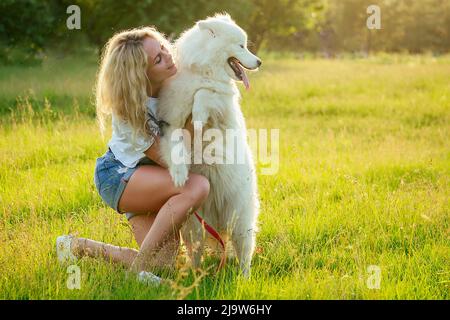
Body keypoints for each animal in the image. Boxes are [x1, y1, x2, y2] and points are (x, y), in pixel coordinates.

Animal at [158, 12, 262, 278]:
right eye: (241, 46)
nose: (259, 62)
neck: (202, 70)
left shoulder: (223, 104)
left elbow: (205, 94)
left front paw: (198, 114)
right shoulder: (171, 122)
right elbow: (174, 146)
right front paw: (179, 173)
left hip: (239, 218)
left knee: (244, 252)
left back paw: (244, 278)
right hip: (193, 224)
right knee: (196, 251)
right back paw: (194, 275)